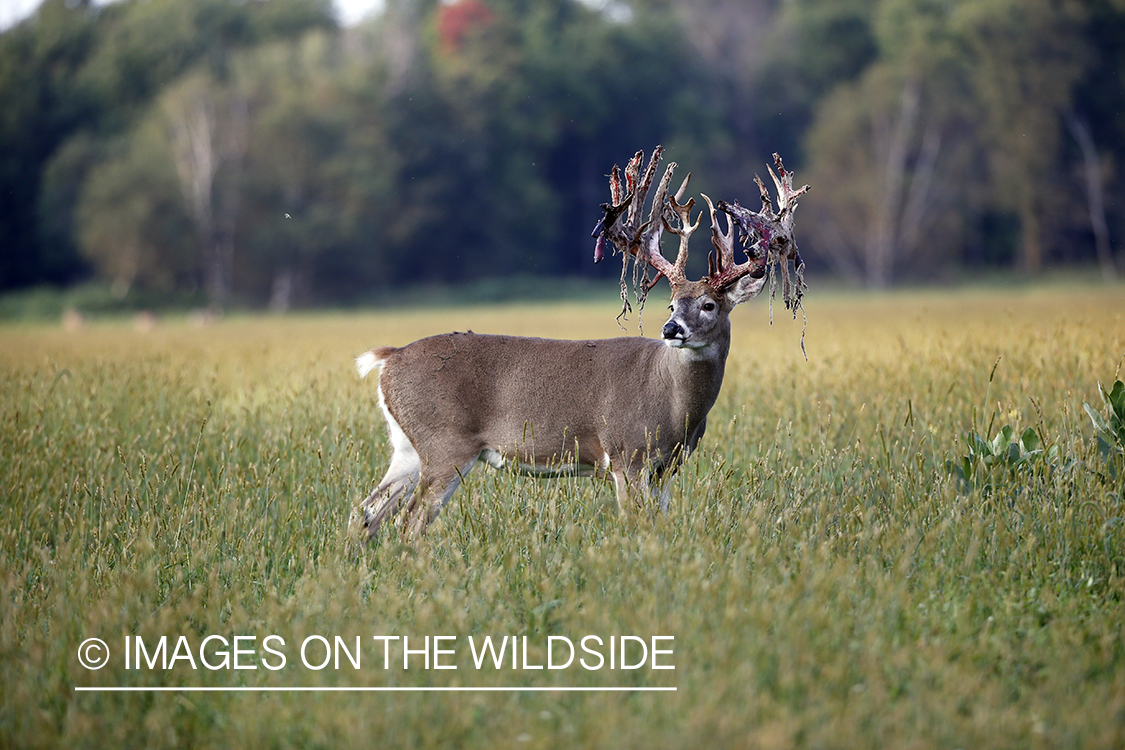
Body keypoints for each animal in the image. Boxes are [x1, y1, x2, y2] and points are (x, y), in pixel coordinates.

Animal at [355, 146, 805, 537]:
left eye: (709, 304)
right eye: (672, 303)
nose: (671, 329)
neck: (674, 403)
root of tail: (389, 359)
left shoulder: (667, 466)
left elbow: (660, 524)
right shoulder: (626, 451)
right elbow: (635, 524)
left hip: (408, 447)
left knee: (365, 511)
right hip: (445, 442)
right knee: (410, 521)